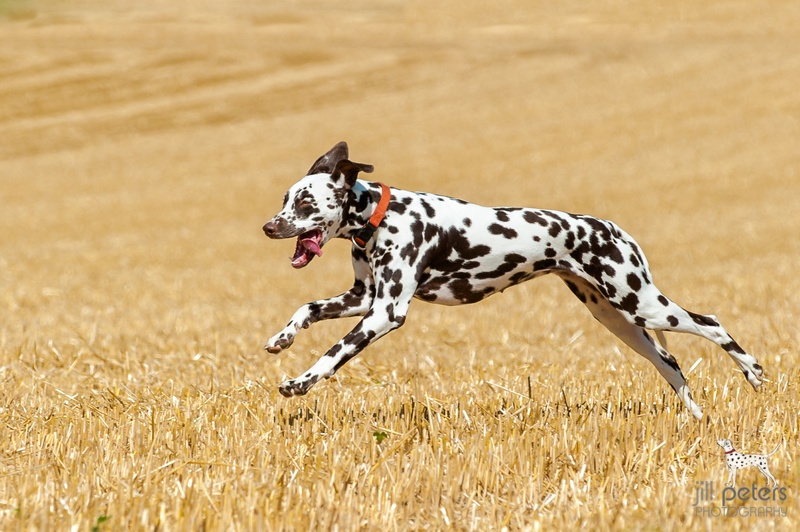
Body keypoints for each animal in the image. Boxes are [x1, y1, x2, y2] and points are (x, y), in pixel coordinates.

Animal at [262, 142, 764, 419]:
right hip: (620, 321)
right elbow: (307, 309)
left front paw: (301, 382)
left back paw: (754, 372)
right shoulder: (363, 297)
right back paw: (697, 418)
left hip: (643, 305)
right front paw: (282, 339)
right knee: (671, 363)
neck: (380, 217)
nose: (269, 226)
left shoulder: (385, 312)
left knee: (712, 323)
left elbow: (334, 354)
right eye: (285, 198)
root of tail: (614, 230)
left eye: (305, 203)